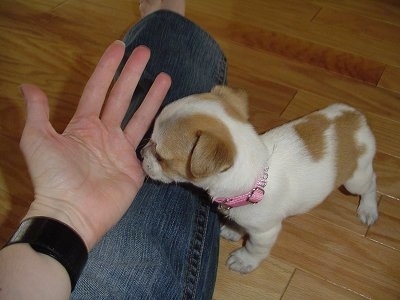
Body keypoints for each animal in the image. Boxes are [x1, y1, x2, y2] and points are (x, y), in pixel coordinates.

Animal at [141, 85, 378, 274]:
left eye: (161, 157)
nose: (142, 152)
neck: (256, 179)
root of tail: (357, 117)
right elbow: (239, 224)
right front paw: (233, 230)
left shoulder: (265, 233)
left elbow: (254, 249)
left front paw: (244, 260)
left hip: (355, 180)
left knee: (371, 183)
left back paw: (368, 209)